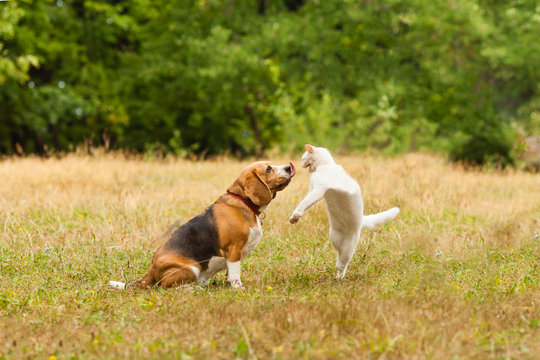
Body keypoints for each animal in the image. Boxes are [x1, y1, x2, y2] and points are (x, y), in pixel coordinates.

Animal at [130, 162, 296, 288]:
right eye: (268, 168)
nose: (288, 167)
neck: (243, 202)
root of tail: (151, 270)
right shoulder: (234, 250)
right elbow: (235, 273)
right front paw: (238, 288)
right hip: (191, 269)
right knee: (167, 287)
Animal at [288, 143, 398, 278]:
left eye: (303, 158)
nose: (300, 164)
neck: (325, 165)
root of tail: (361, 222)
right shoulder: (313, 189)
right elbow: (306, 202)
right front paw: (295, 219)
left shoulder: (318, 190)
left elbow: (304, 203)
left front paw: (295, 216)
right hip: (334, 238)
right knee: (340, 259)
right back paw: (338, 276)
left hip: (348, 247)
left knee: (343, 263)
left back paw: (339, 278)